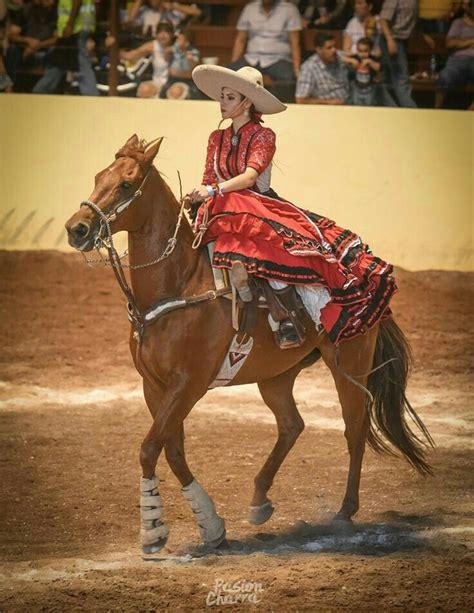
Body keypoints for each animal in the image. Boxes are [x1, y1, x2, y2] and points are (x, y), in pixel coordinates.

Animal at [65, 135, 432, 556]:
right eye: (98, 177)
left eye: (126, 184)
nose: (76, 229)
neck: (178, 284)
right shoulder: (153, 385)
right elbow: (171, 448)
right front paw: (210, 527)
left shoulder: (189, 385)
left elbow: (150, 447)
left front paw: (153, 532)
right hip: (276, 376)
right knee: (292, 425)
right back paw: (259, 501)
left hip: (350, 365)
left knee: (354, 430)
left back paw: (344, 513)